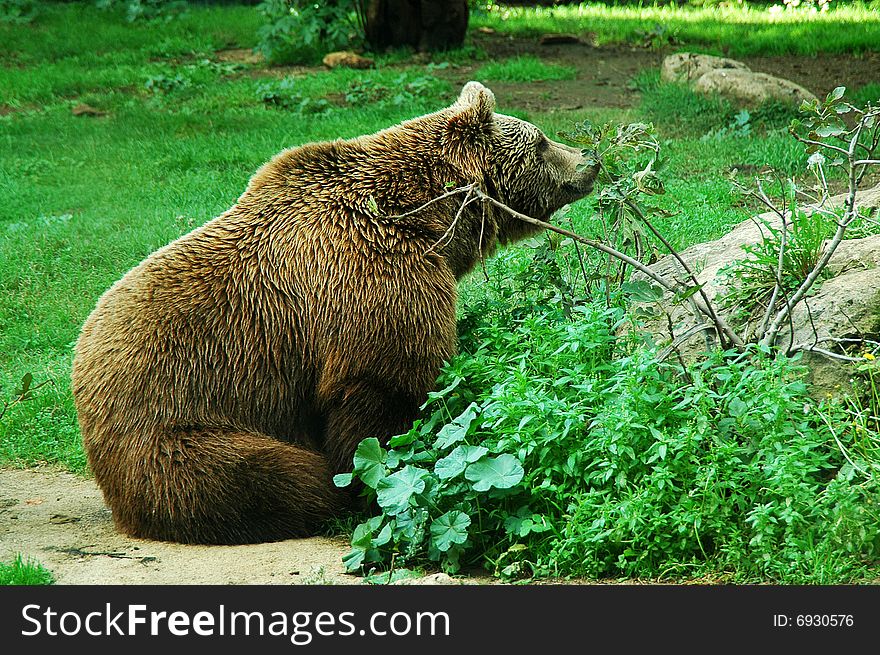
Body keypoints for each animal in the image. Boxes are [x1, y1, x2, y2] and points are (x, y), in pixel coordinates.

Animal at [72, 80, 600, 544]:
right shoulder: (369, 275)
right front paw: (376, 481)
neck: (425, 217)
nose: (589, 160)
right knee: (267, 474)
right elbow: (384, 389)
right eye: (542, 141)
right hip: (178, 427)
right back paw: (319, 496)